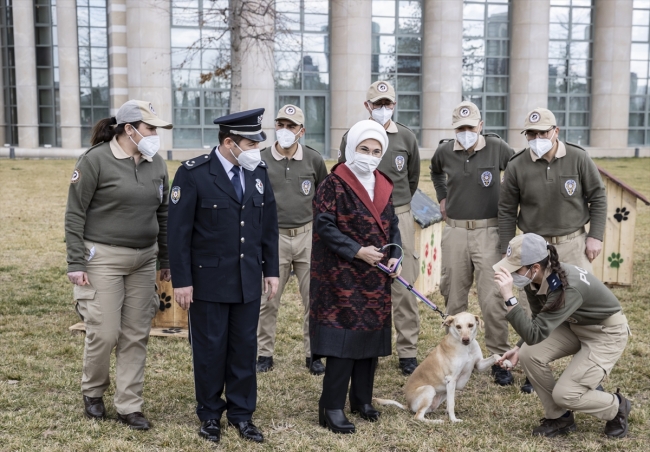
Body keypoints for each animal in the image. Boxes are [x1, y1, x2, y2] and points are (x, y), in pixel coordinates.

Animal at [370, 312, 506, 422]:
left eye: (471, 325)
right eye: (458, 327)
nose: (466, 339)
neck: (466, 348)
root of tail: (407, 404)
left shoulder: (478, 364)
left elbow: (495, 356)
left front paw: (504, 363)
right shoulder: (451, 380)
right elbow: (452, 404)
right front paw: (454, 420)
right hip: (429, 389)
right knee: (418, 417)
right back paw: (438, 421)